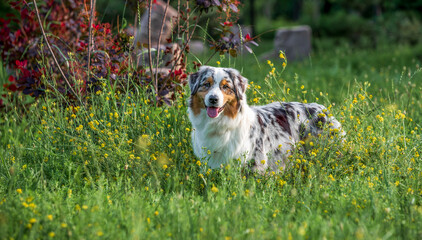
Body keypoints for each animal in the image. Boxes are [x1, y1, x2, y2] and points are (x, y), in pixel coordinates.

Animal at [187, 66, 342, 172]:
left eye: (225, 86)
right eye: (206, 84)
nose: (213, 99)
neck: (220, 124)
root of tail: (323, 109)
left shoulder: (255, 162)